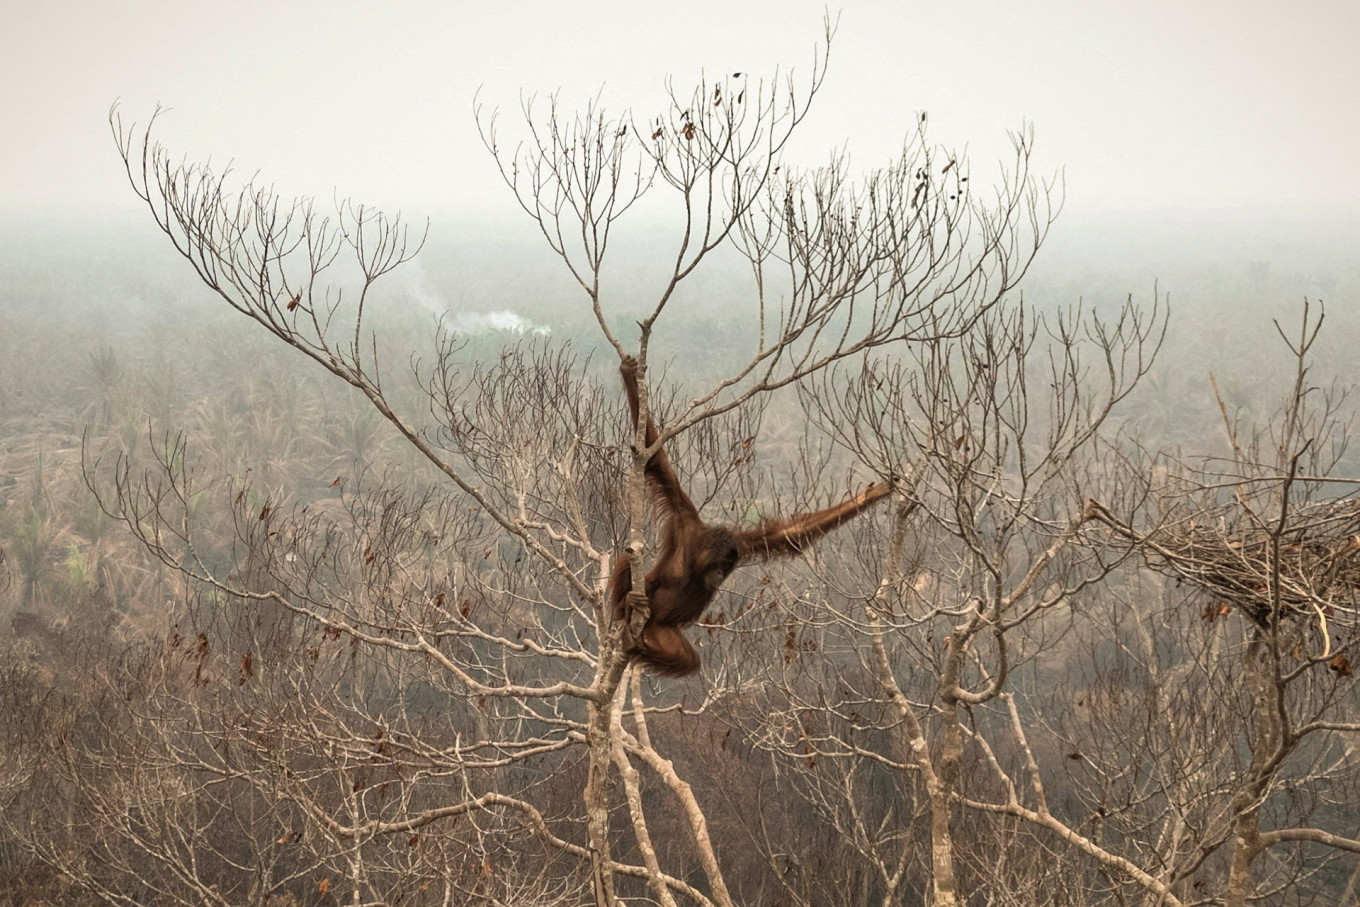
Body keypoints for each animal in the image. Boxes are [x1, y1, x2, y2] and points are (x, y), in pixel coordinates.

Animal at [610, 355, 891, 676]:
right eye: (721, 564)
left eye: (729, 566)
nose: (721, 575)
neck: (698, 555)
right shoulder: (683, 516)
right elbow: (656, 460)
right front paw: (629, 372)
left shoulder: (744, 543)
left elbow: (789, 534)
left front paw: (876, 492)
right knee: (626, 563)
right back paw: (628, 604)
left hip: (659, 630)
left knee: (687, 660)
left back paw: (638, 647)